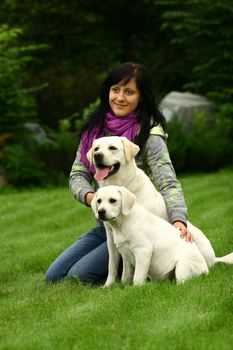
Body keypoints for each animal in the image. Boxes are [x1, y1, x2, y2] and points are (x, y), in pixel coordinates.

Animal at [87, 135, 233, 286]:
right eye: (96, 149)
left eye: (112, 148)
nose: (97, 155)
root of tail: (215, 259)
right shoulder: (112, 238)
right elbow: (114, 265)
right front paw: (109, 285)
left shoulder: (143, 247)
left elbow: (137, 274)